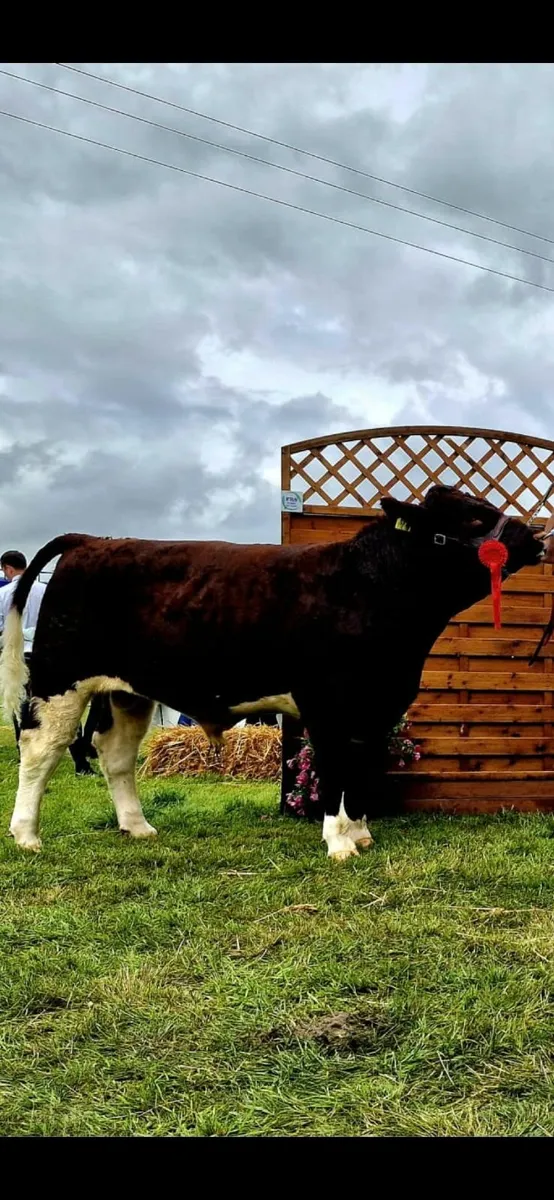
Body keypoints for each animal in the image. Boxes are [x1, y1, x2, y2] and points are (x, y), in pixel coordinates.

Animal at [0, 485, 546, 859]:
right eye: (474, 516)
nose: (536, 535)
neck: (370, 587)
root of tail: (92, 540)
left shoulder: (377, 706)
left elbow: (361, 769)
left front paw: (362, 833)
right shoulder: (327, 704)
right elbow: (334, 770)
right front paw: (339, 842)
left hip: (127, 692)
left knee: (114, 753)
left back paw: (138, 827)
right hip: (59, 680)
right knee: (41, 750)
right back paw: (26, 835)